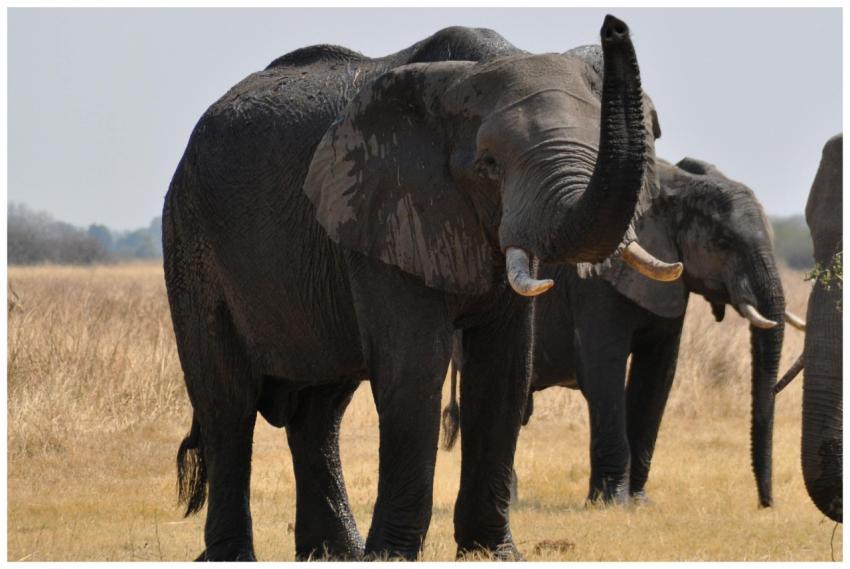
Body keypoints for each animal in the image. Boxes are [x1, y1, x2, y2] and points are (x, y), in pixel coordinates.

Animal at [163, 15, 676, 560]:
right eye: (489, 164)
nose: (614, 26)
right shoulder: (382, 207)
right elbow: (415, 367)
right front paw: (392, 556)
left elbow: (504, 370)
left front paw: (494, 554)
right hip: (190, 238)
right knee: (228, 405)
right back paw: (239, 555)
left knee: (319, 414)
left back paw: (337, 554)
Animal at [445, 155, 801, 507]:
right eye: (724, 243)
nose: (766, 504)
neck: (675, 186)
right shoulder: (594, 284)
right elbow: (604, 370)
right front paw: (611, 503)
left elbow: (658, 373)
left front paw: (640, 502)